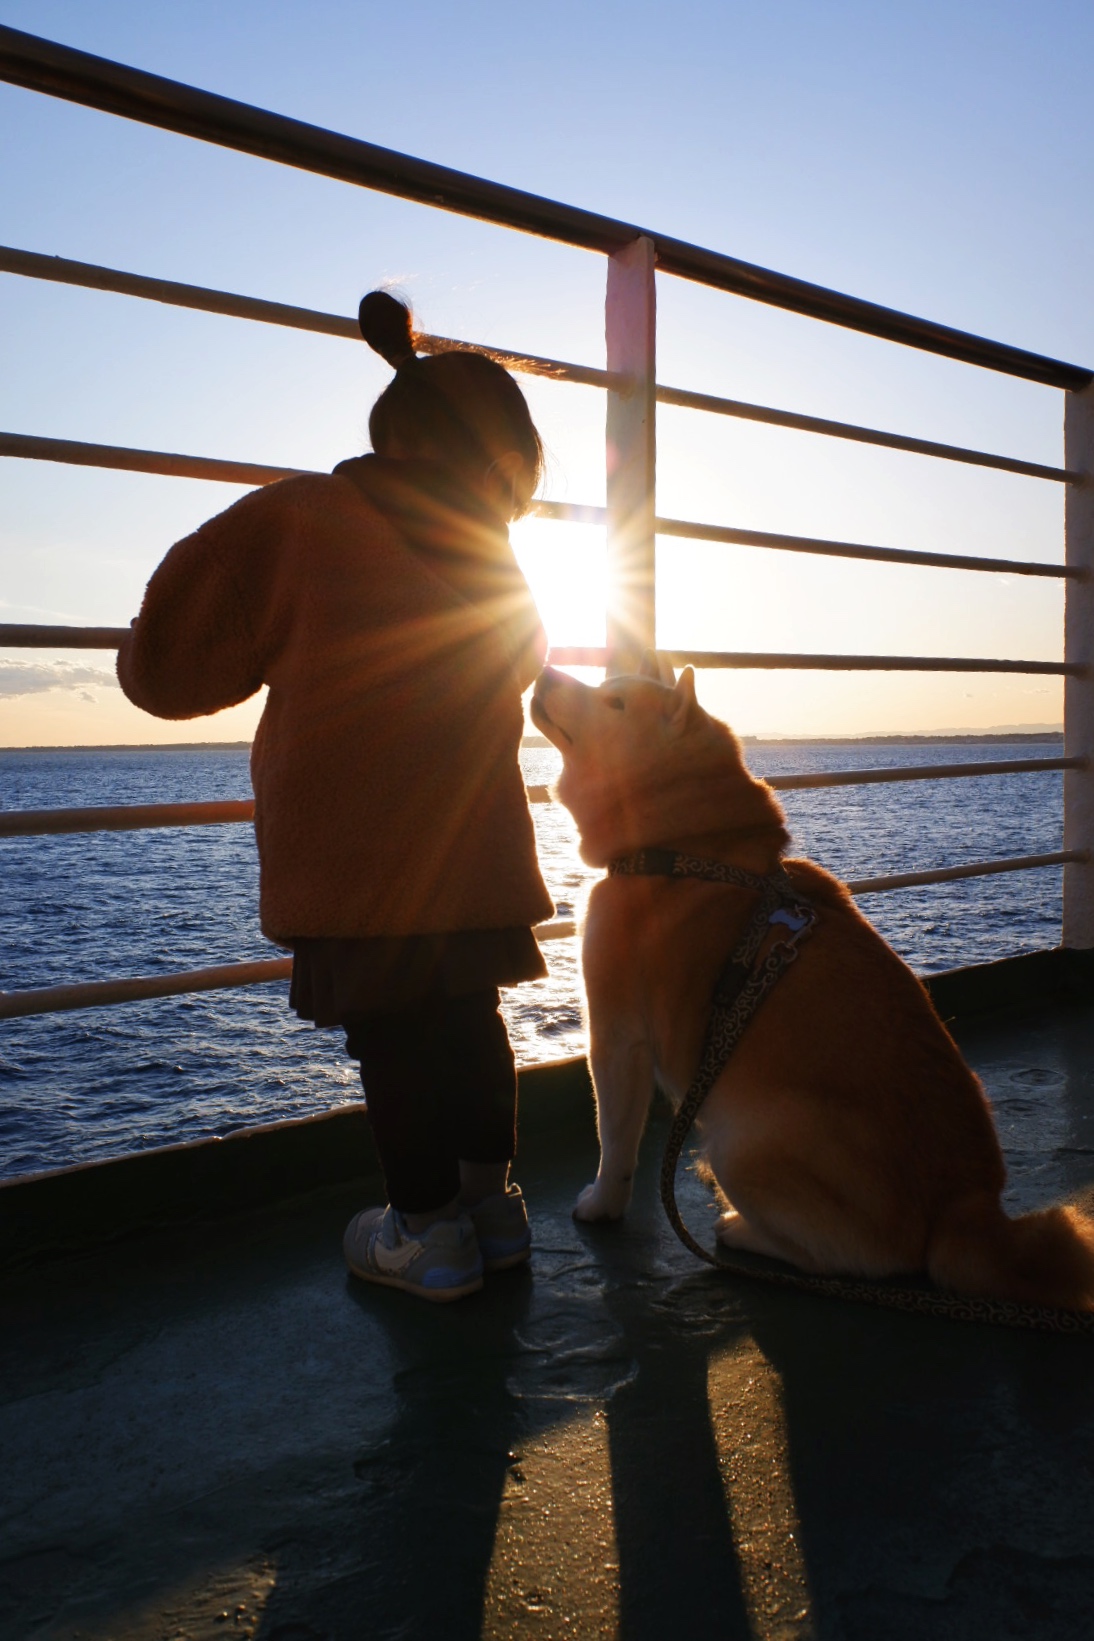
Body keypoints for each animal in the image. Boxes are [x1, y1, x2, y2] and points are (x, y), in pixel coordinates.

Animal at [531, 656, 1094, 1306]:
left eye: (615, 702)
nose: (544, 670)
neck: (682, 849)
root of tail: (965, 1210)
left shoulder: (618, 1035)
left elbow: (615, 1137)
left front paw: (602, 1205)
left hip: (739, 1143)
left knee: (857, 1260)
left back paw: (740, 1230)